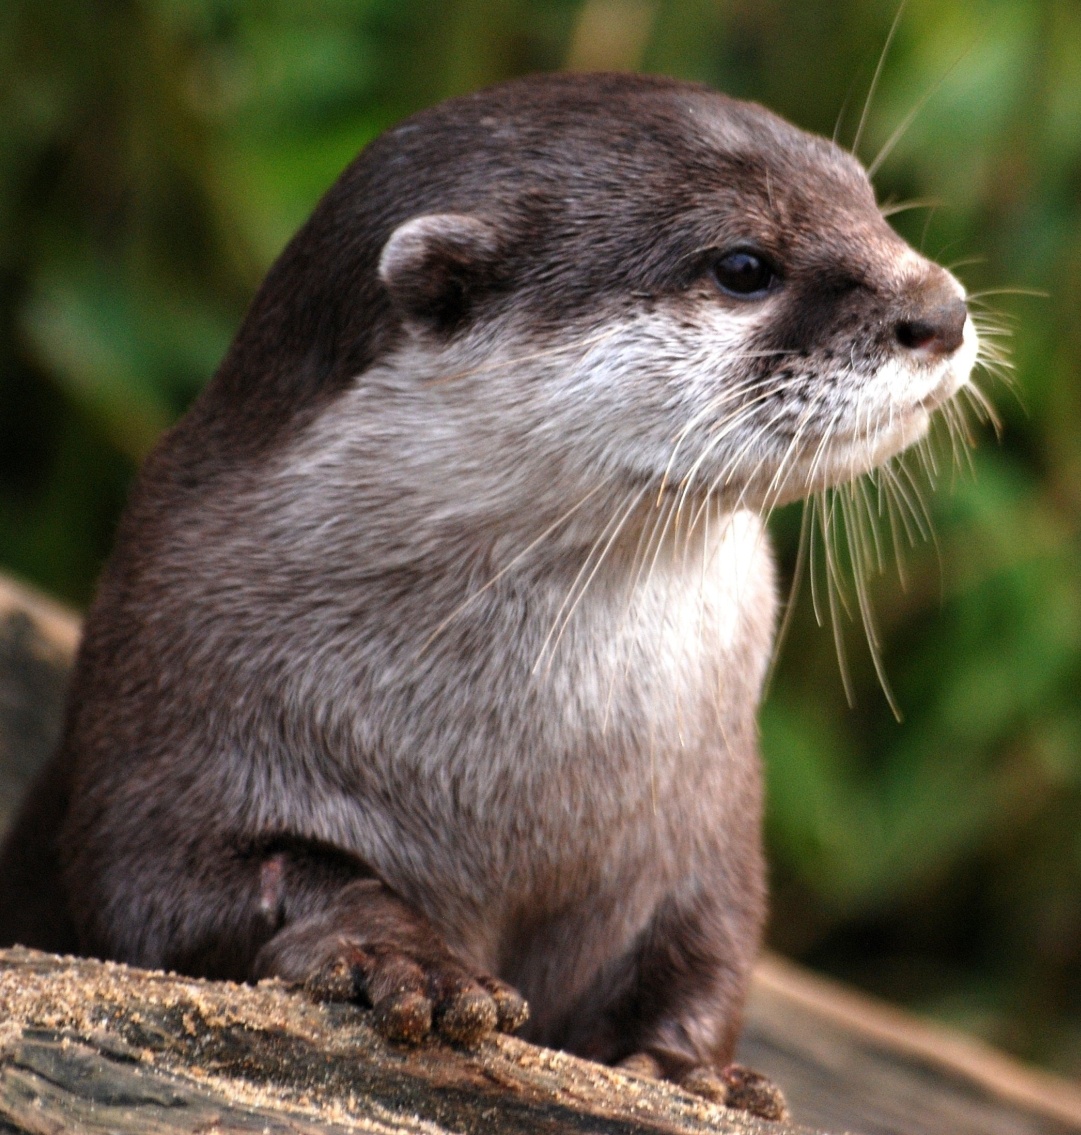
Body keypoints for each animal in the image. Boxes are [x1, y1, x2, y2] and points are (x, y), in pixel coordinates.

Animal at [0, 72, 976, 1121]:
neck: (517, 776)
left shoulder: (709, 817)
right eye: (744, 265)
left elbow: (708, 944)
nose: (942, 308)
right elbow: (180, 887)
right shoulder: (166, 699)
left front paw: (690, 1069)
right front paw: (402, 958)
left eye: (866, 199)